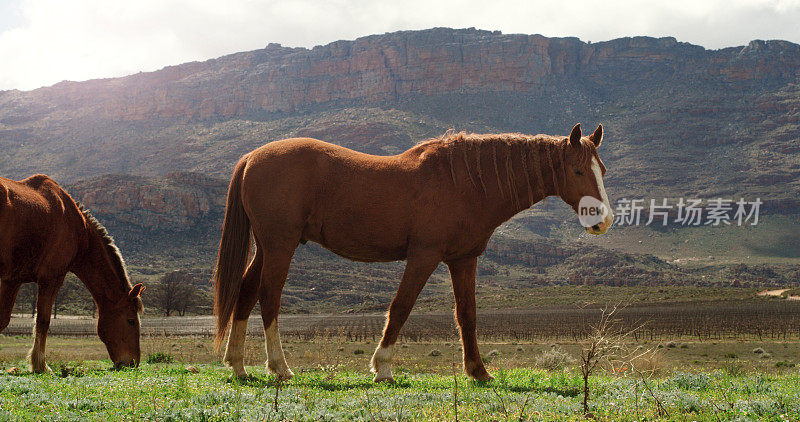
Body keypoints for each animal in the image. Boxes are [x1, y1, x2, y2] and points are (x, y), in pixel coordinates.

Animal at [0, 173, 145, 370]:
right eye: (131, 321)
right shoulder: (51, 278)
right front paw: (40, 365)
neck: (79, 230)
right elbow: (43, 321)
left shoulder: (12, 280)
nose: (132, 363)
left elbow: (3, 319)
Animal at [212, 123, 612, 382]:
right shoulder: (424, 256)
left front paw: (479, 372)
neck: (464, 182)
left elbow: (467, 315)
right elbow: (401, 307)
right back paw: (279, 367)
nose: (604, 220)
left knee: (245, 292)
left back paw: (238, 365)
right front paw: (383, 367)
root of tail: (251, 157)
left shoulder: (463, 259)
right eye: (578, 170)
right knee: (269, 297)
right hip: (281, 244)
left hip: (267, 246)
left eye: (603, 170)